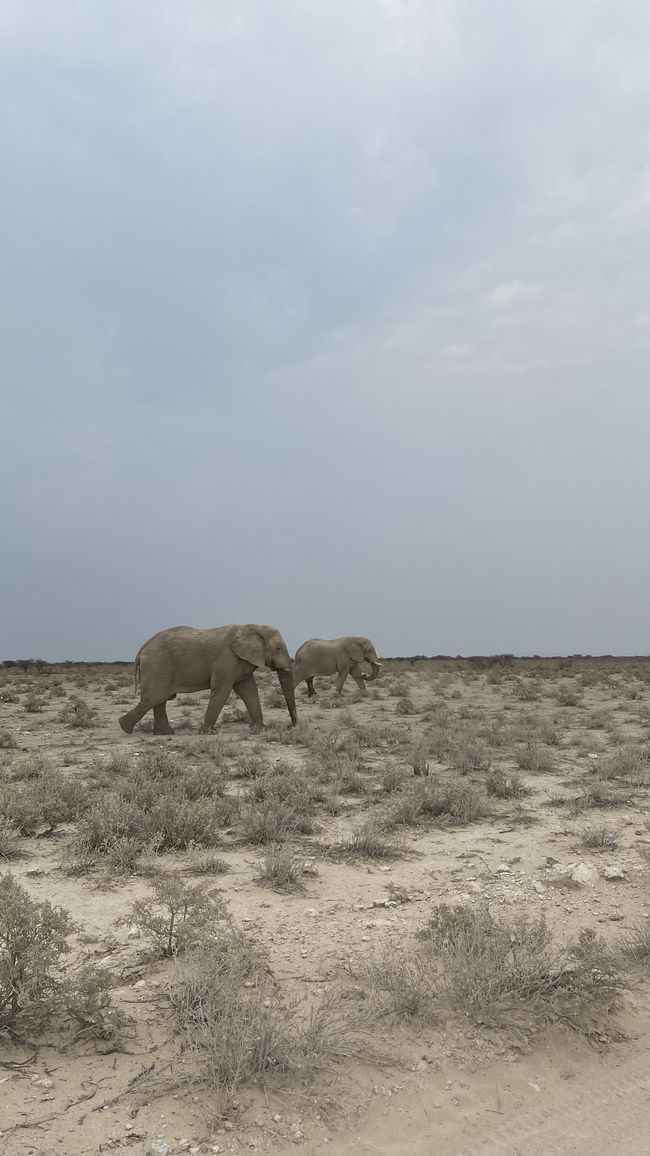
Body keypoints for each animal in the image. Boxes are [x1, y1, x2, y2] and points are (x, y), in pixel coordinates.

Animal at [119, 628, 296, 735]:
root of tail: (141, 650)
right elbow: (222, 691)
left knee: (159, 700)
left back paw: (165, 733)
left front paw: (260, 729)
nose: (292, 726)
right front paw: (206, 732)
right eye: (278, 649)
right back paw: (125, 728)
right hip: (157, 666)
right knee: (153, 698)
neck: (250, 627)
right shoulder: (226, 660)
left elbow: (249, 690)